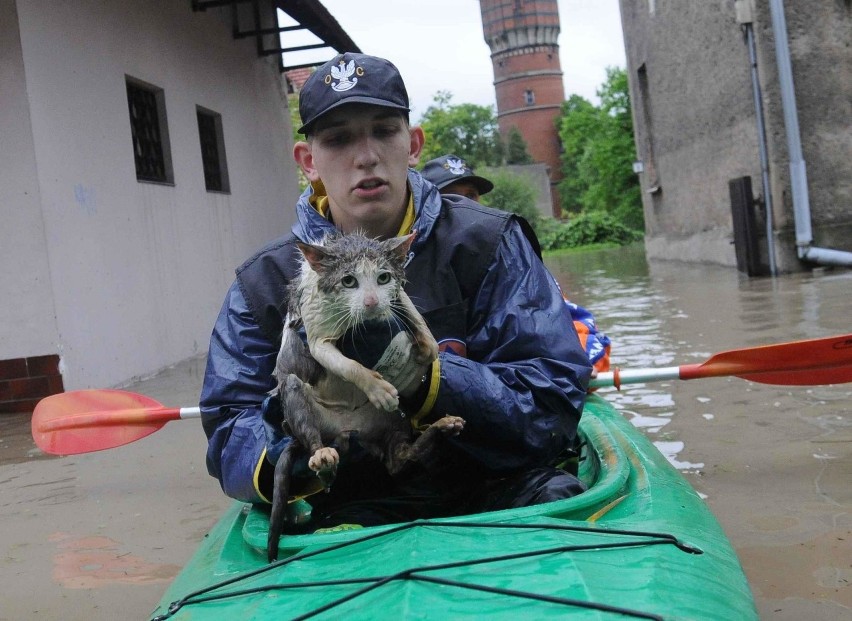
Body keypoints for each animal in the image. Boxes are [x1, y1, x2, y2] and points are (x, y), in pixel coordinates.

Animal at [268, 232, 462, 560]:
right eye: (348, 281)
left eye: (383, 277)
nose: (371, 303)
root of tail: (346, 428)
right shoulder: (316, 333)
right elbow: (348, 366)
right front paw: (378, 388)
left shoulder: (397, 297)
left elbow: (413, 314)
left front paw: (425, 350)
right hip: (297, 402)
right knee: (308, 429)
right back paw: (322, 456)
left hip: (392, 423)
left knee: (400, 460)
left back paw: (442, 427)